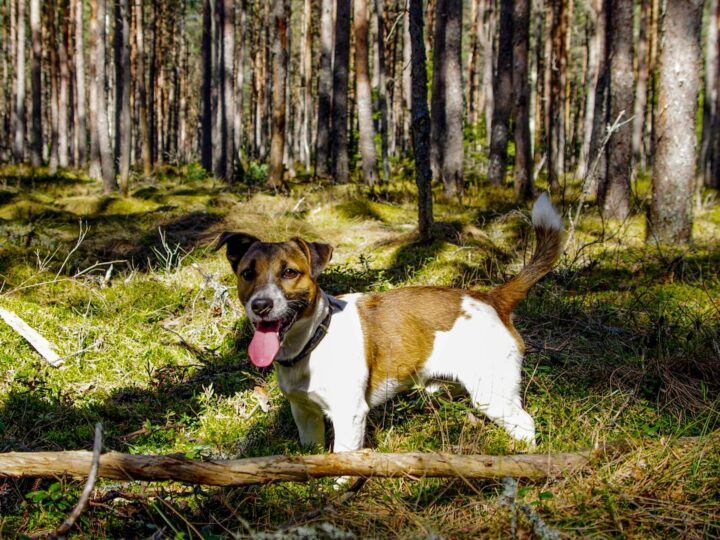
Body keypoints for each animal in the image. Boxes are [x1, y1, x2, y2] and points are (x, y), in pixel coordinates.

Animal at [217, 194, 562, 452]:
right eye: (247, 273)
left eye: (290, 272)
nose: (260, 305)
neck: (315, 338)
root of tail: (492, 297)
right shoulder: (305, 414)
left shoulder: (349, 414)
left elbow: (343, 458)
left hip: (492, 394)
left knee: (525, 425)